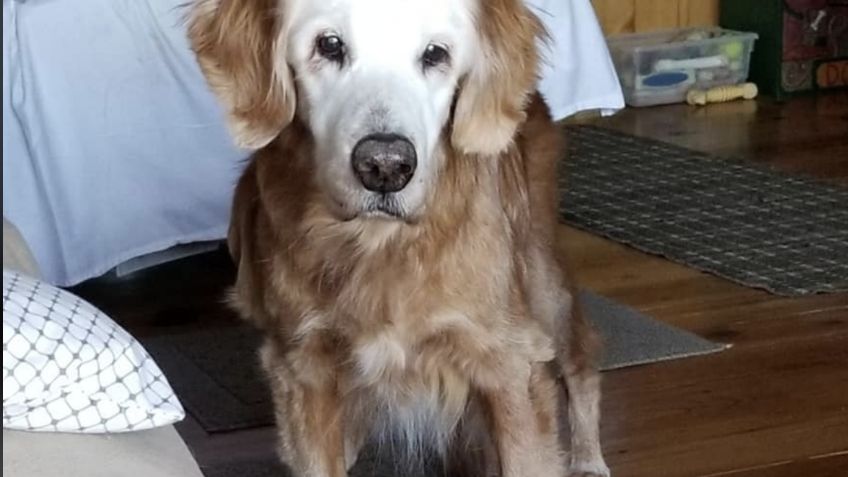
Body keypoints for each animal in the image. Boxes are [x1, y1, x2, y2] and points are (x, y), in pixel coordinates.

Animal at [190, 0, 608, 476]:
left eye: (436, 54)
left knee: (581, 356)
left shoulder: (507, 362)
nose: (385, 166)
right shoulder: (302, 366)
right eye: (329, 45)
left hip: (542, 281)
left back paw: (588, 459)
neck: (380, 245)